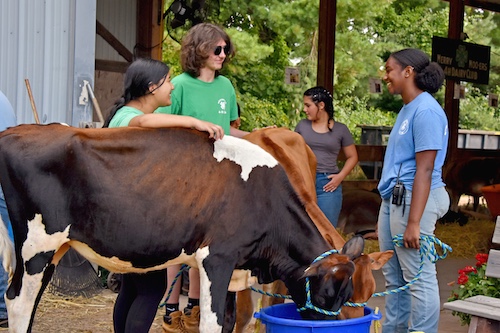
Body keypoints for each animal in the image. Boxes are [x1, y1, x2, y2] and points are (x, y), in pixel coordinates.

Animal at [0, 123, 362, 330]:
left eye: (347, 295)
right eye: (327, 293)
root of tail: (17, 130)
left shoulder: (234, 269)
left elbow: (229, 320)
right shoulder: (217, 258)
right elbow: (212, 321)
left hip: (55, 248)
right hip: (37, 246)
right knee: (17, 300)